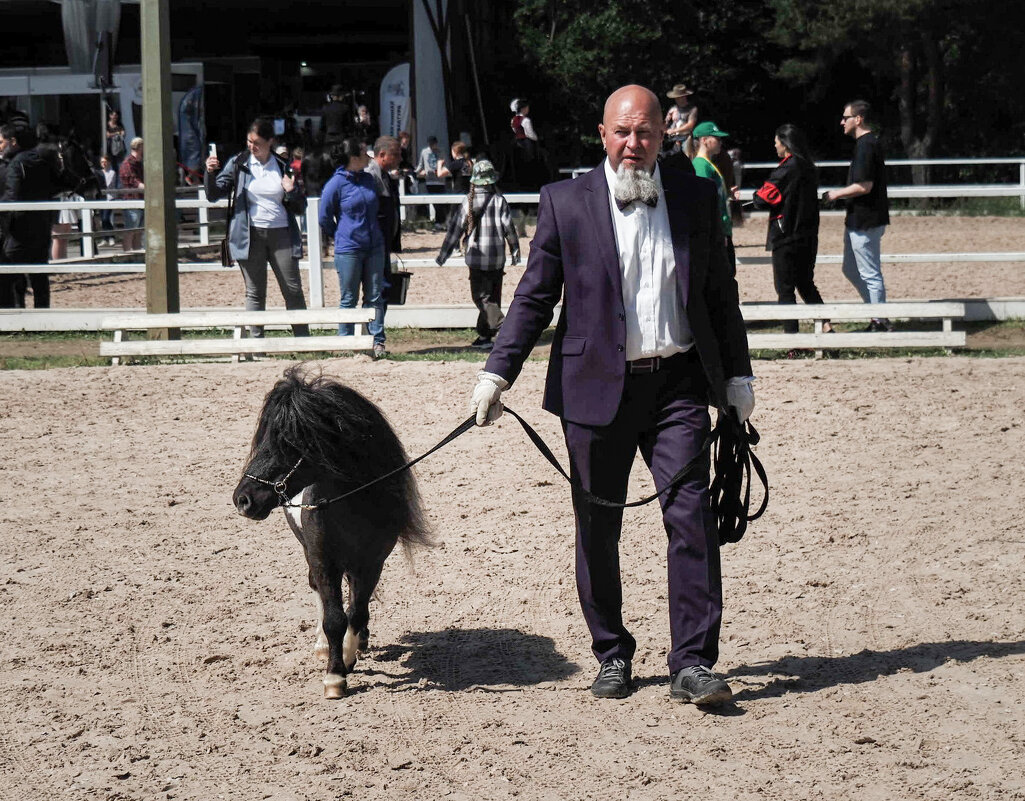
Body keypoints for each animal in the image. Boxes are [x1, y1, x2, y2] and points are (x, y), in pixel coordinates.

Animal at [232, 365, 428, 697]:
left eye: (288, 443)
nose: (242, 500)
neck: (354, 505)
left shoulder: (371, 563)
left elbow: (357, 610)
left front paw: (348, 655)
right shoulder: (324, 560)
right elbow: (334, 617)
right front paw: (335, 674)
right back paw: (325, 646)